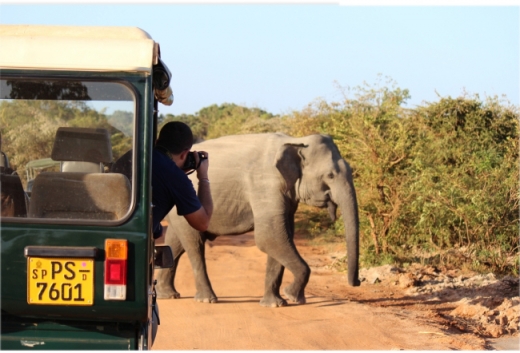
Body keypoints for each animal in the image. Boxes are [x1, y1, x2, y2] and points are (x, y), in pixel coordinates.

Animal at [153, 132, 358, 306]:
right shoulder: (266, 185)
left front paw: (274, 304)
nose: (356, 283)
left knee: (175, 242)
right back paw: (207, 299)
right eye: (330, 175)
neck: (296, 141)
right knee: (194, 244)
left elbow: (282, 236)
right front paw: (292, 297)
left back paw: (168, 295)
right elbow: (269, 237)